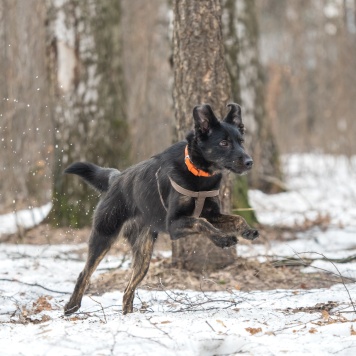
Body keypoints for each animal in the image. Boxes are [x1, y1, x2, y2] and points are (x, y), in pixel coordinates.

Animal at [63, 103, 258, 314]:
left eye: (241, 141)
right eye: (223, 143)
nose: (249, 162)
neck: (198, 172)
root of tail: (115, 179)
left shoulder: (213, 214)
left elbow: (235, 219)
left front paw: (247, 230)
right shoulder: (174, 225)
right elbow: (201, 223)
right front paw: (222, 239)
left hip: (143, 255)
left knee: (128, 289)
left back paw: (128, 316)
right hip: (104, 236)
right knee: (85, 272)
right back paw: (72, 306)